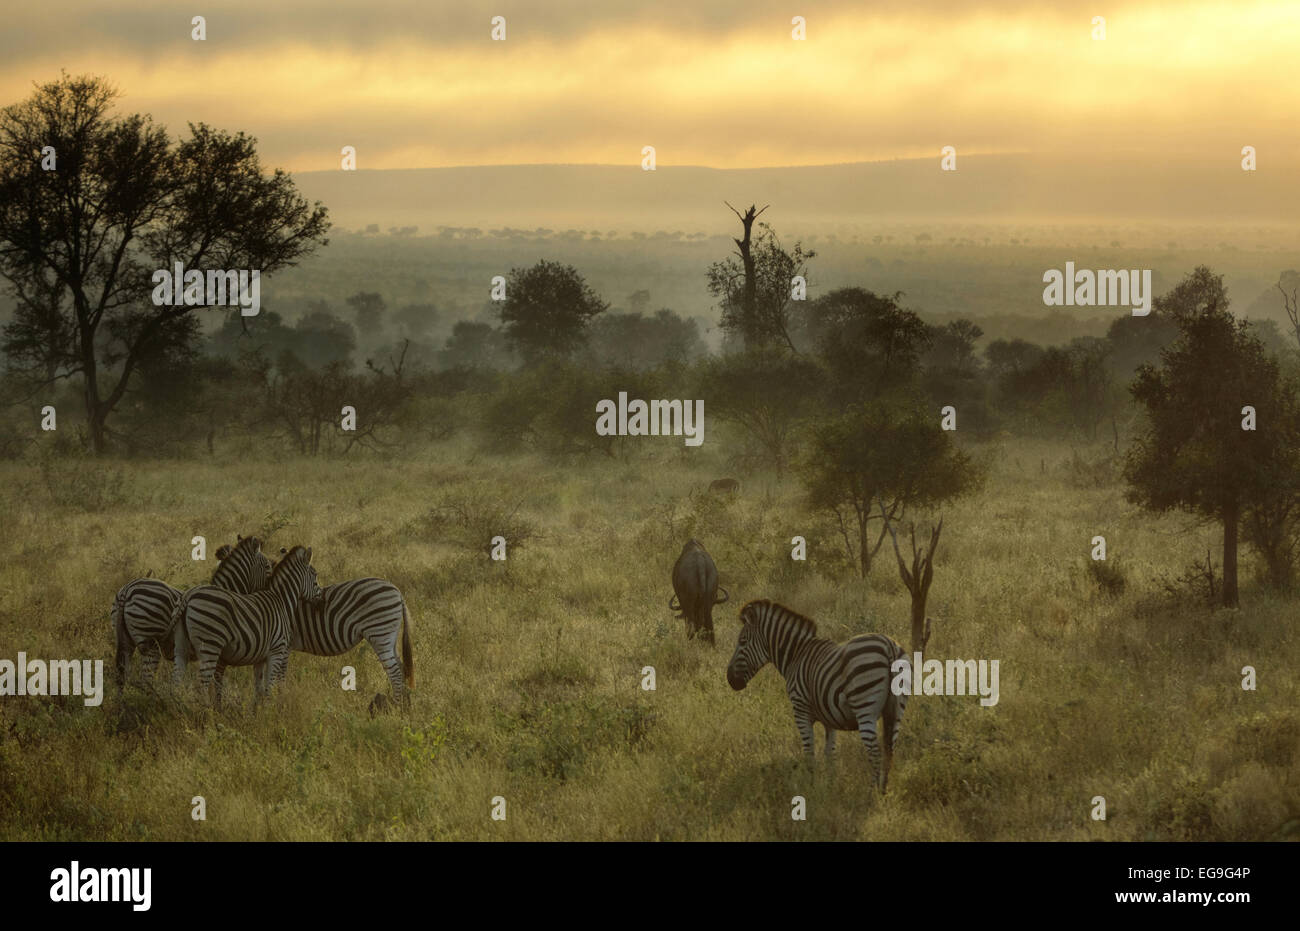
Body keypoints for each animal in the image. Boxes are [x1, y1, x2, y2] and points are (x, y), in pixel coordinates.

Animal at [111, 535, 273, 688]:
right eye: (267, 566)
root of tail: (127, 590)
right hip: (151, 643)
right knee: (145, 681)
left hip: (125, 641)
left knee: (121, 678)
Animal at [172, 544, 321, 707]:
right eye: (315, 575)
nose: (321, 598)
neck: (281, 600)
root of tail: (189, 595)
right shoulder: (276, 651)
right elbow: (269, 688)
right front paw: (269, 709)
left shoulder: (260, 658)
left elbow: (259, 689)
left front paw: (258, 710)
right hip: (210, 646)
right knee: (201, 688)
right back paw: (205, 711)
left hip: (181, 647)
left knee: (177, 683)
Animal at [725, 599, 909, 792]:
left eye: (742, 641)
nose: (730, 679)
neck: (796, 655)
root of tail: (889, 646)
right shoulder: (830, 717)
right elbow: (829, 754)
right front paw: (830, 785)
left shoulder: (800, 710)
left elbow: (809, 752)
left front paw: (811, 787)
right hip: (896, 711)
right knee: (890, 750)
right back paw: (883, 790)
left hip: (864, 707)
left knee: (875, 752)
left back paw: (872, 792)